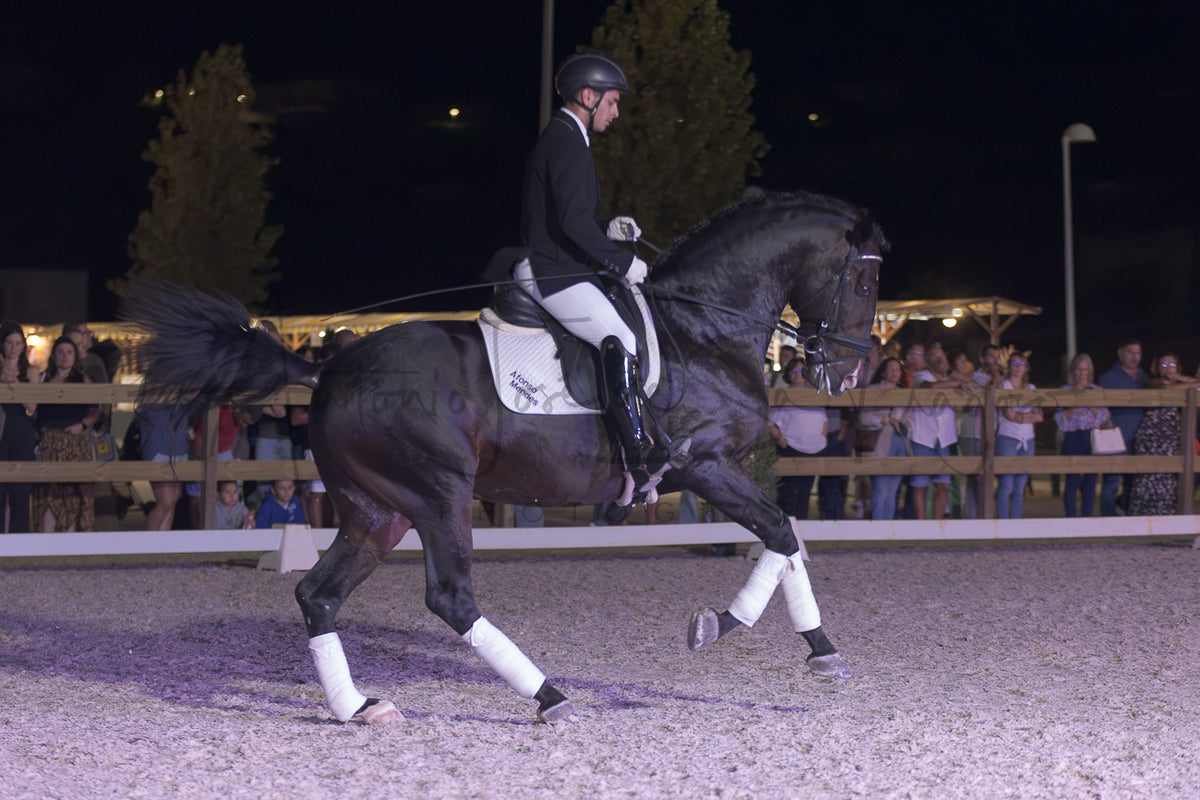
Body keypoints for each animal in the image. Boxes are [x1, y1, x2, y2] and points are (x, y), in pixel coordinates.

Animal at [128, 190, 885, 725]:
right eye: (866, 285)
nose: (847, 373)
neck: (703, 327)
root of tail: (330, 370)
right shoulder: (702, 463)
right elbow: (781, 533)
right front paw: (739, 630)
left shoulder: (712, 468)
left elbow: (785, 537)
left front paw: (804, 646)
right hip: (437, 493)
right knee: (449, 596)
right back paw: (548, 695)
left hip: (377, 509)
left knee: (319, 595)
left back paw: (360, 707)